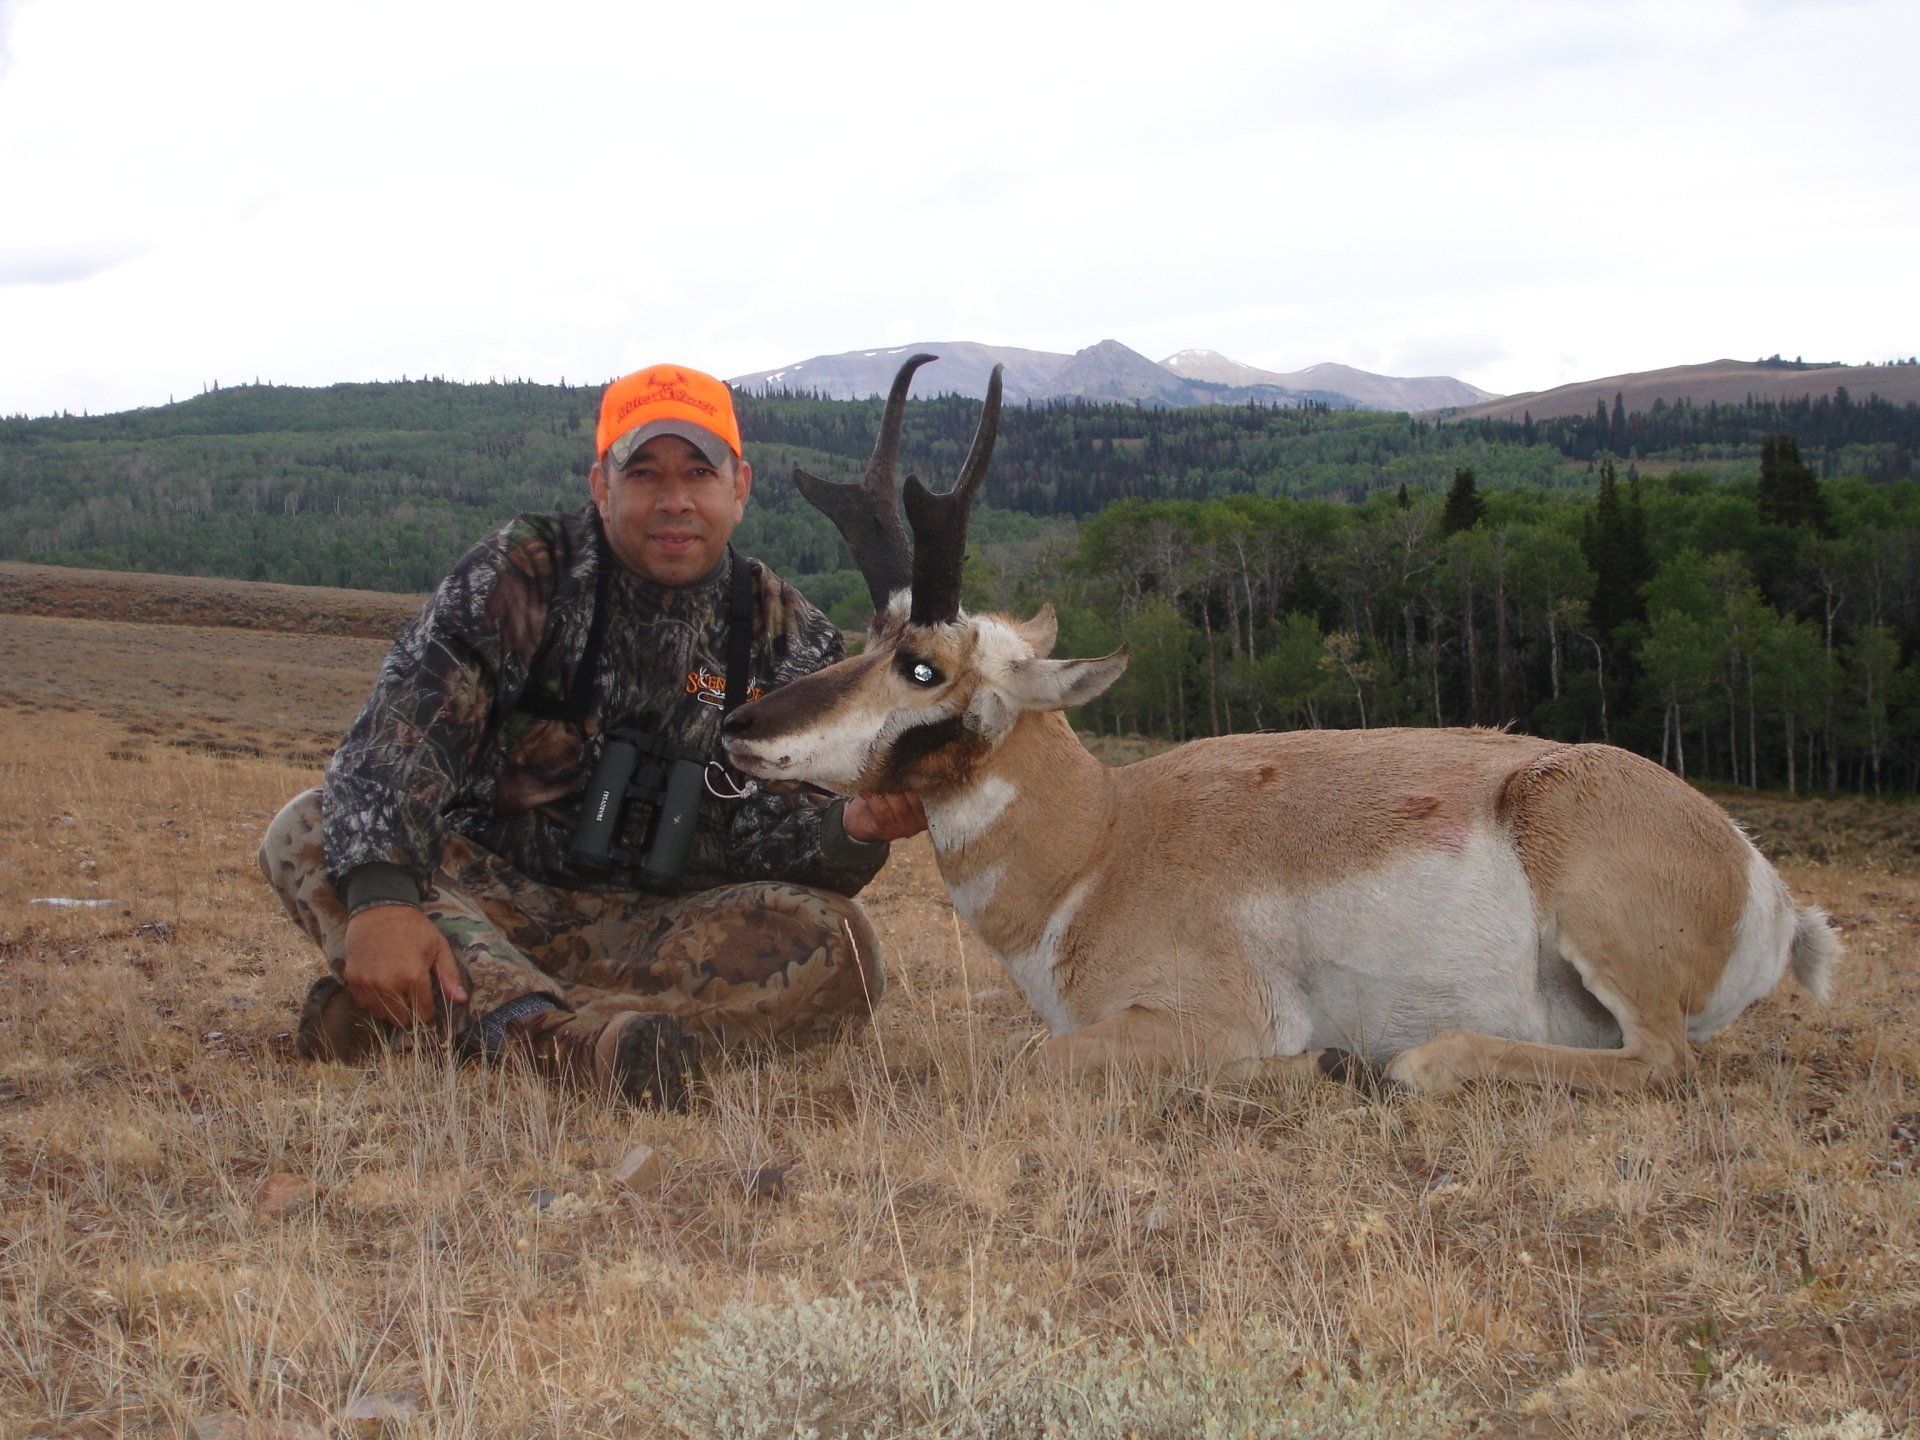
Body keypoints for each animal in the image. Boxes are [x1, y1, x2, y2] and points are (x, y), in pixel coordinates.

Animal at [721, 356, 1838, 1092]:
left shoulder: (1203, 1019)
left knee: (1660, 1063)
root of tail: (1765, 884)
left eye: (922, 666)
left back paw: (1408, 1064)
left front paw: (1312, 1066)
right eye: (867, 635)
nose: (739, 727)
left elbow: (1036, 1055)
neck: (1103, 844)